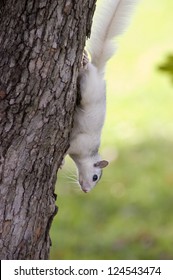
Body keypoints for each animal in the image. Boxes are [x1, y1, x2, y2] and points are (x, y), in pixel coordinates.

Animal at [66, 0, 137, 192]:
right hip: (87, 90)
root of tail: (98, 73)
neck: (86, 156)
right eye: (95, 176)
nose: (86, 191)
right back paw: (84, 61)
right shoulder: (80, 143)